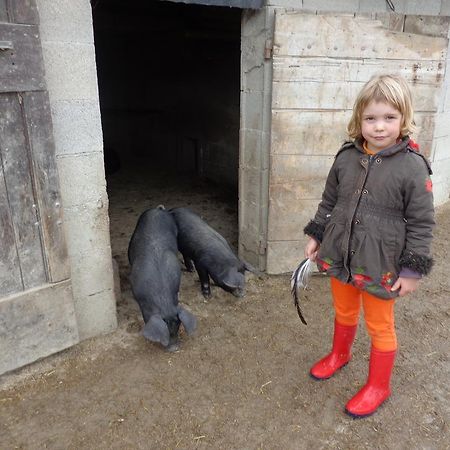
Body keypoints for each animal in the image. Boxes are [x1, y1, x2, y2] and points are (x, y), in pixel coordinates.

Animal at [127, 207, 196, 352]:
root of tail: (157, 209)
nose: (174, 348)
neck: (162, 298)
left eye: (178, 326)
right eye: (166, 330)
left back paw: (192, 269)